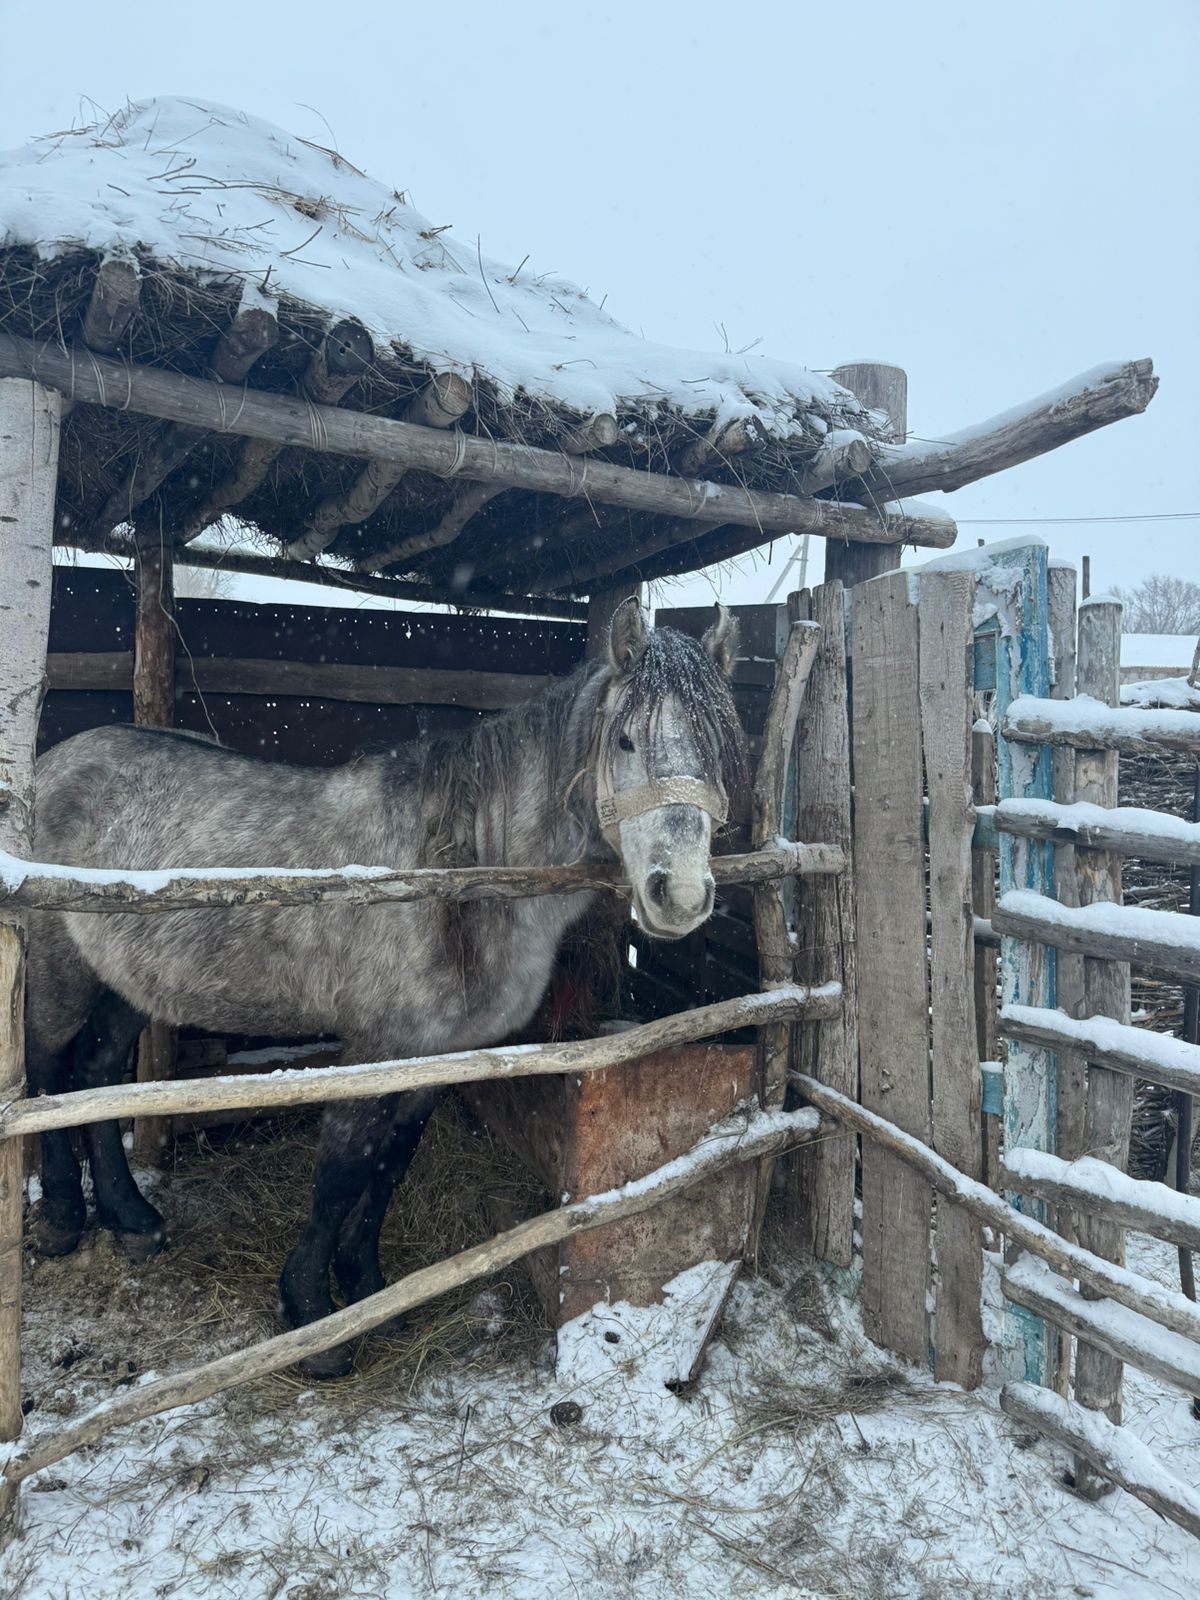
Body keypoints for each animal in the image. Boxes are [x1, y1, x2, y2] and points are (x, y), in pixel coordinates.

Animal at [28, 601, 748, 1376]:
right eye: (624, 740)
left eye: (717, 749)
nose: (680, 896)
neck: (454, 879)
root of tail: (51, 764)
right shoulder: (377, 1047)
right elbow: (343, 1169)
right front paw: (312, 1317)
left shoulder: (434, 1055)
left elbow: (391, 1164)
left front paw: (369, 1288)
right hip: (57, 965)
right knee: (45, 1072)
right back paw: (63, 1222)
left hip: (129, 980)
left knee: (97, 1073)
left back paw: (131, 1220)